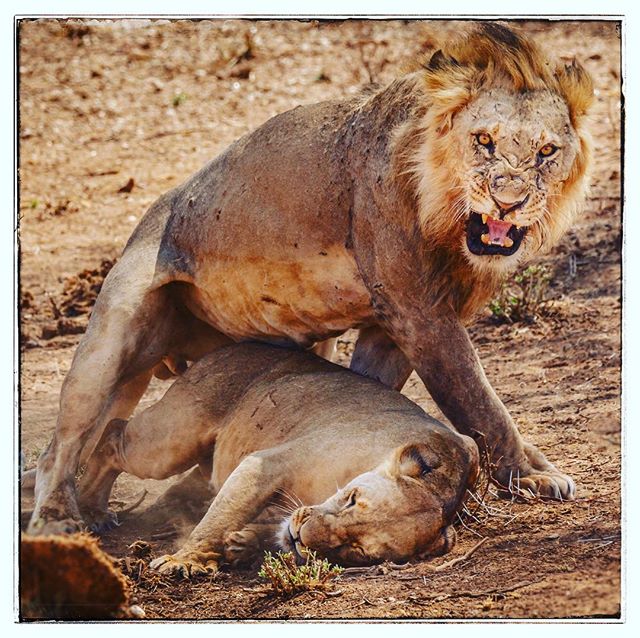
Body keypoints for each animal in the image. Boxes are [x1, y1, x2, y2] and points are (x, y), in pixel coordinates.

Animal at [29, 22, 593, 535]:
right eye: (483, 141)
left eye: (546, 152)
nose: (509, 201)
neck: (448, 219)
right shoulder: (418, 312)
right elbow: (480, 402)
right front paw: (531, 476)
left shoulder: (392, 326)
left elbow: (371, 391)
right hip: (111, 337)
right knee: (62, 445)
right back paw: (60, 519)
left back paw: (107, 509)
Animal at [77, 343, 479, 576]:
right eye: (352, 500)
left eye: (358, 551)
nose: (301, 537)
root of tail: (234, 345)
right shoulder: (265, 464)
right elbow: (218, 520)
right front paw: (183, 561)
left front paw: (245, 544)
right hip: (170, 441)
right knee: (113, 432)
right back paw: (91, 511)